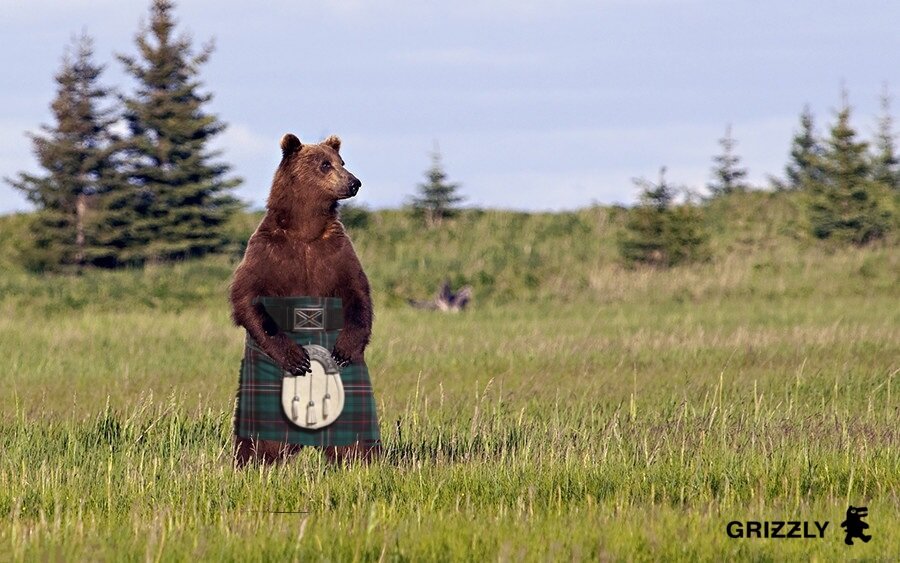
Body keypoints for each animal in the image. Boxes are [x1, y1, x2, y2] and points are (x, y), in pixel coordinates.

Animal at [230, 133, 382, 468]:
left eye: (341, 161)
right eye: (325, 164)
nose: (354, 182)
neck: (305, 230)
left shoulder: (336, 253)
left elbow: (358, 296)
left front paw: (344, 350)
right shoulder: (267, 251)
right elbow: (246, 297)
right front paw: (295, 358)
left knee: (355, 433)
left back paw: (360, 457)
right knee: (261, 436)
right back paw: (252, 459)